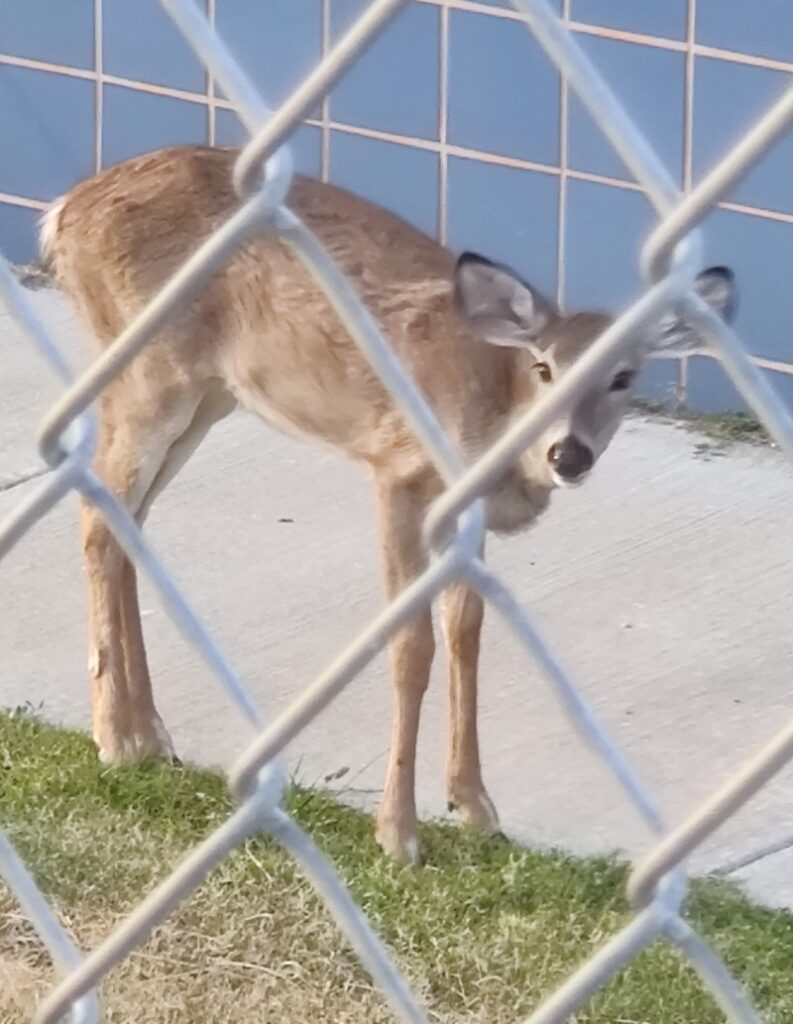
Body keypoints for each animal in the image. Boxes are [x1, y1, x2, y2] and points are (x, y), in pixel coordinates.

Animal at [40, 146, 737, 864]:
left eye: (623, 377)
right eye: (544, 367)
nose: (568, 455)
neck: (491, 410)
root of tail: (63, 214)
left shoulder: (464, 511)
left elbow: (466, 630)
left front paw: (475, 805)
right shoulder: (397, 472)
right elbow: (411, 645)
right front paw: (399, 832)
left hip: (208, 394)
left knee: (128, 519)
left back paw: (151, 732)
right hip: (150, 374)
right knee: (98, 517)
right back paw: (114, 738)